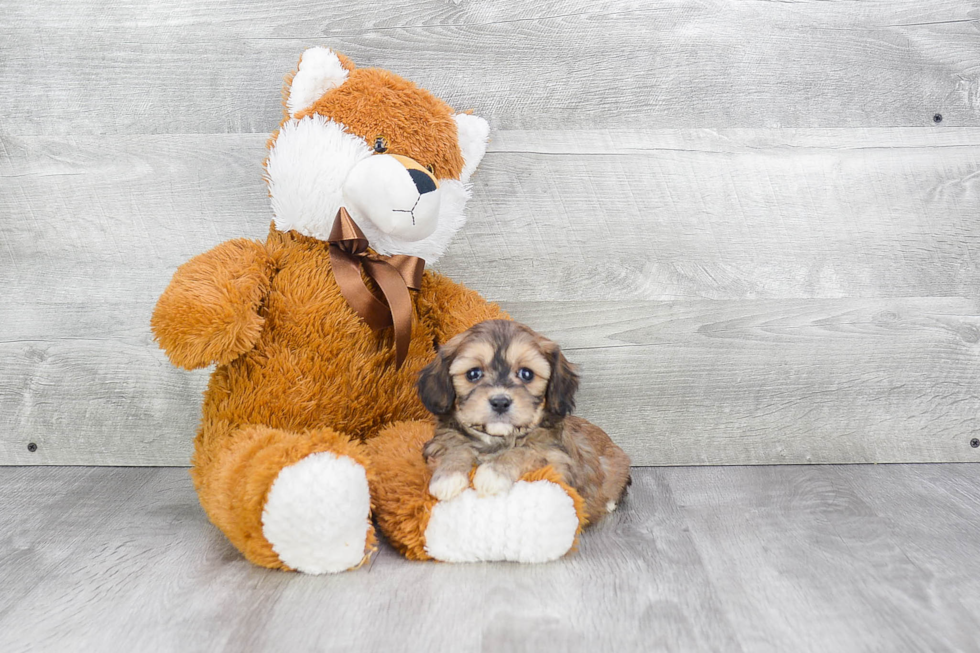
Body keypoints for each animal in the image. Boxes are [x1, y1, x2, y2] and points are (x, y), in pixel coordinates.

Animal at [416, 318, 632, 524]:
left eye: (526, 374)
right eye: (473, 373)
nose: (500, 402)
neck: (498, 439)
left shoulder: (556, 459)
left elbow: (525, 451)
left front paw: (493, 473)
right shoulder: (438, 443)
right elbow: (457, 447)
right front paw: (448, 476)